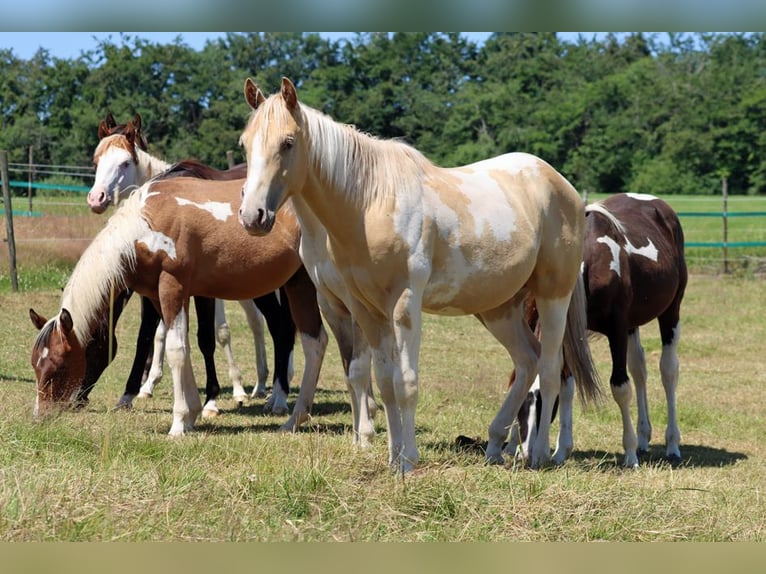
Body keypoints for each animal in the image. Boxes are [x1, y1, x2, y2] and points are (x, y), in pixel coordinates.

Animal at [31, 175, 327, 434]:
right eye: (35, 364)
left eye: (60, 365)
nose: (41, 416)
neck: (144, 225)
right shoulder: (166, 295)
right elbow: (183, 347)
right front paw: (192, 415)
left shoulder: (172, 287)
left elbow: (175, 351)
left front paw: (178, 423)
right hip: (296, 284)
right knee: (312, 340)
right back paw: (292, 417)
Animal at [85, 113, 294, 412]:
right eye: (96, 161)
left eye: (125, 162)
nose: (96, 198)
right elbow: (153, 334)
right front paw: (139, 389)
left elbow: (212, 335)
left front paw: (214, 398)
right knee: (265, 323)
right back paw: (264, 386)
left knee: (281, 326)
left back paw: (275, 390)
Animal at [237, 77, 601, 471]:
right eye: (245, 143)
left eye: (288, 142)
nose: (253, 215)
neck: (371, 203)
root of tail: (564, 188)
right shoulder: (366, 310)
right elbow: (384, 382)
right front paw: (393, 454)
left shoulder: (404, 305)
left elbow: (406, 383)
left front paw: (408, 459)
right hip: (498, 307)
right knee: (527, 361)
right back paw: (495, 444)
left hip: (554, 295)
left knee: (550, 370)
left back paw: (539, 454)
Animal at [505, 193, 687, 467]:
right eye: (520, 407)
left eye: (543, 405)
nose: (525, 452)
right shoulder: (566, 333)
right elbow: (565, 385)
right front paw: (561, 450)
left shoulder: (617, 330)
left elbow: (620, 387)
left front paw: (629, 453)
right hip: (633, 325)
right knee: (640, 369)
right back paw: (644, 437)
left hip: (670, 312)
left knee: (668, 371)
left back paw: (671, 443)